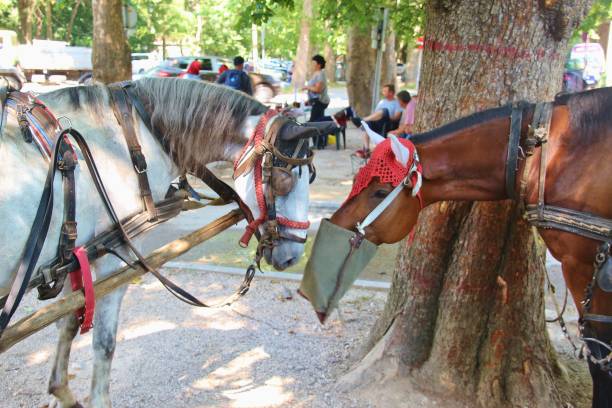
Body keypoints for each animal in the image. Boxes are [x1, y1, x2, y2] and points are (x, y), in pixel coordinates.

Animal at [0, 77, 316, 408]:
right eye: (284, 181)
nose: (294, 254)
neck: (132, 137)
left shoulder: (72, 258)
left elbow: (68, 323)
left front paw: (60, 390)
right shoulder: (113, 257)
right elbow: (104, 341)